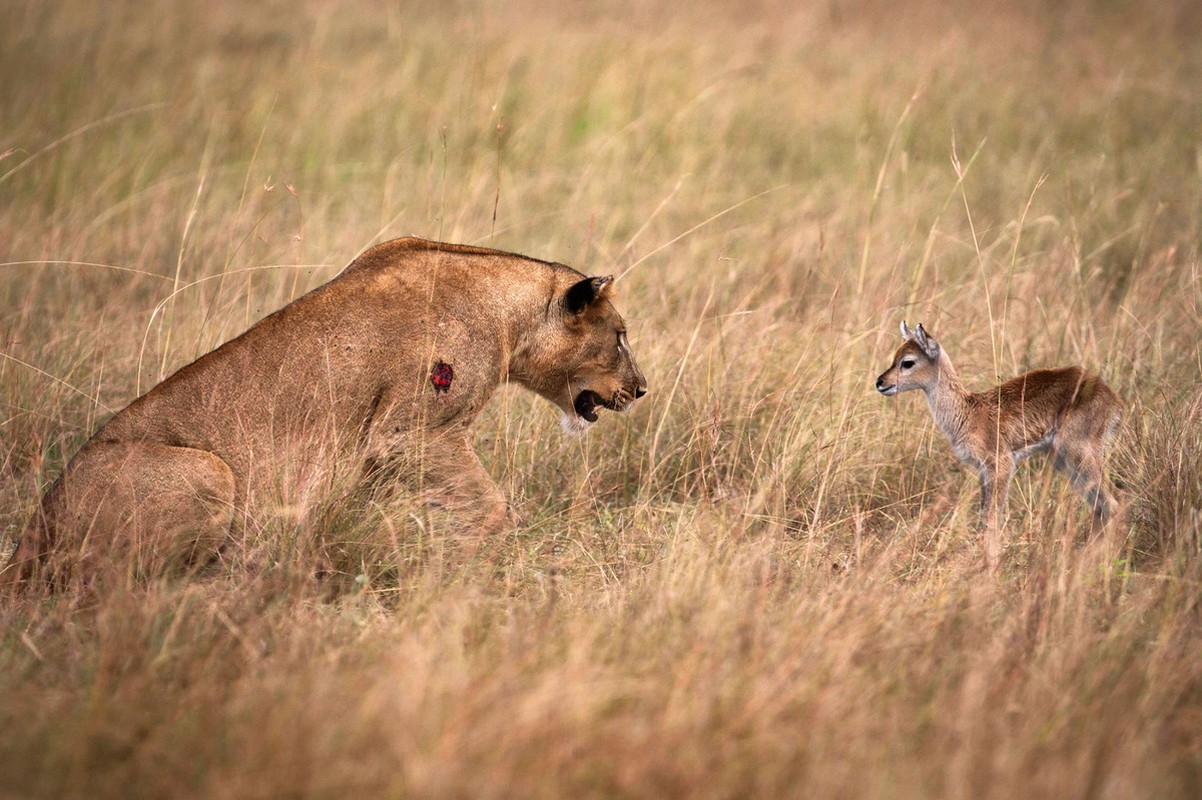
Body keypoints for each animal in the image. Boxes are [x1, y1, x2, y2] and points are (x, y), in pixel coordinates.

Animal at [879, 321, 1120, 564]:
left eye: (907, 361)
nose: (880, 383)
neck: (968, 413)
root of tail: (1111, 396)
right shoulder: (983, 471)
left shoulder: (1002, 464)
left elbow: (992, 518)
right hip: (1065, 461)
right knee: (1099, 505)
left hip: (1080, 454)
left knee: (1114, 503)